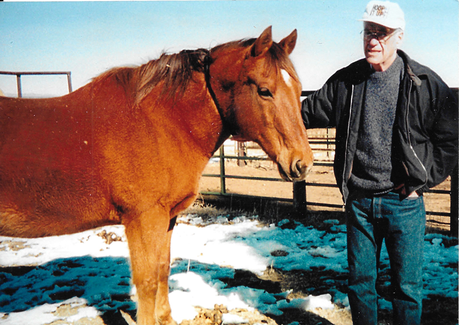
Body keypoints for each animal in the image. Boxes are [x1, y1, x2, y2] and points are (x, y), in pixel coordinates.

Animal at [0, 26, 314, 322]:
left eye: (298, 89)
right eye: (264, 90)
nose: (303, 163)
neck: (159, 124)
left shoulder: (166, 217)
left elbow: (162, 269)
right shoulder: (143, 219)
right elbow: (147, 280)